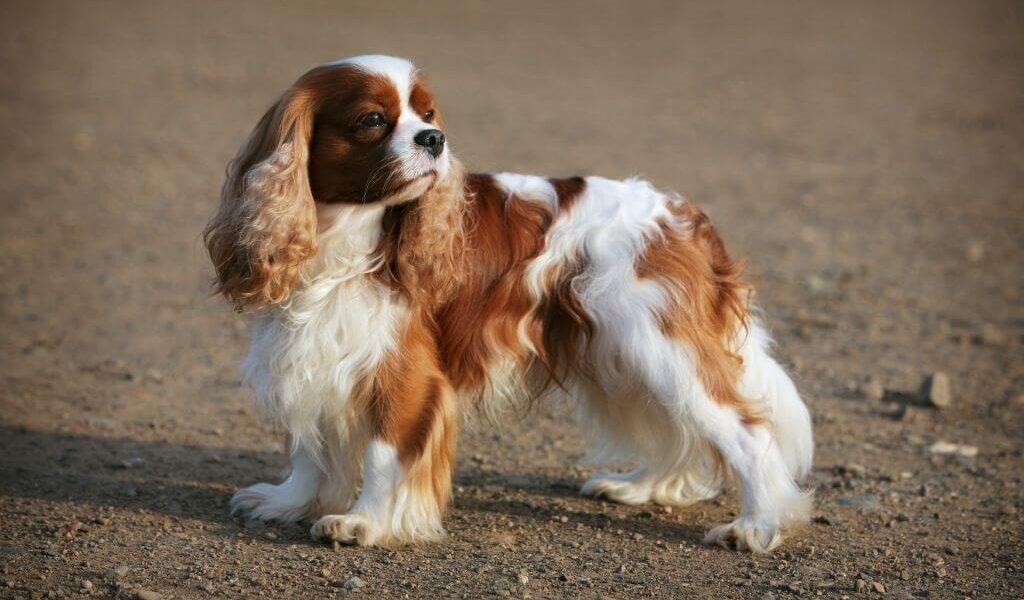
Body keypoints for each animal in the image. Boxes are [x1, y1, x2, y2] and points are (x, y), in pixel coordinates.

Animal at [205, 56, 815, 552]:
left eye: (429, 113)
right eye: (373, 119)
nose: (434, 139)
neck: (345, 238)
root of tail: (685, 216)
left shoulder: (403, 367)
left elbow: (384, 451)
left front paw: (366, 522)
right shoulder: (308, 349)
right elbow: (310, 447)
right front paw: (289, 501)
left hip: (659, 345)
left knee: (747, 431)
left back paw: (756, 527)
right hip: (626, 354)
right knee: (677, 428)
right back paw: (640, 487)